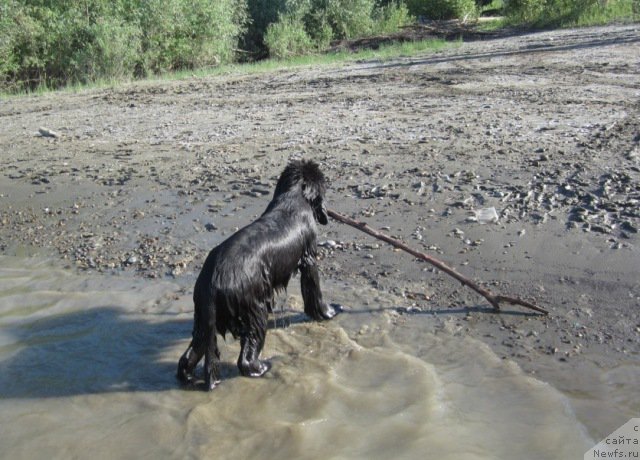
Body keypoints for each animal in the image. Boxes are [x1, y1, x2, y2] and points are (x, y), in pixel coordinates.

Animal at [178, 160, 338, 390]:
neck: (293, 197)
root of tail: (212, 282)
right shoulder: (308, 258)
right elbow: (314, 291)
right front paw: (329, 312)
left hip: (203, 318)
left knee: (189, 354)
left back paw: (189, 378)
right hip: (255, 310)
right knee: (245, 359)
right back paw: (264, 366)